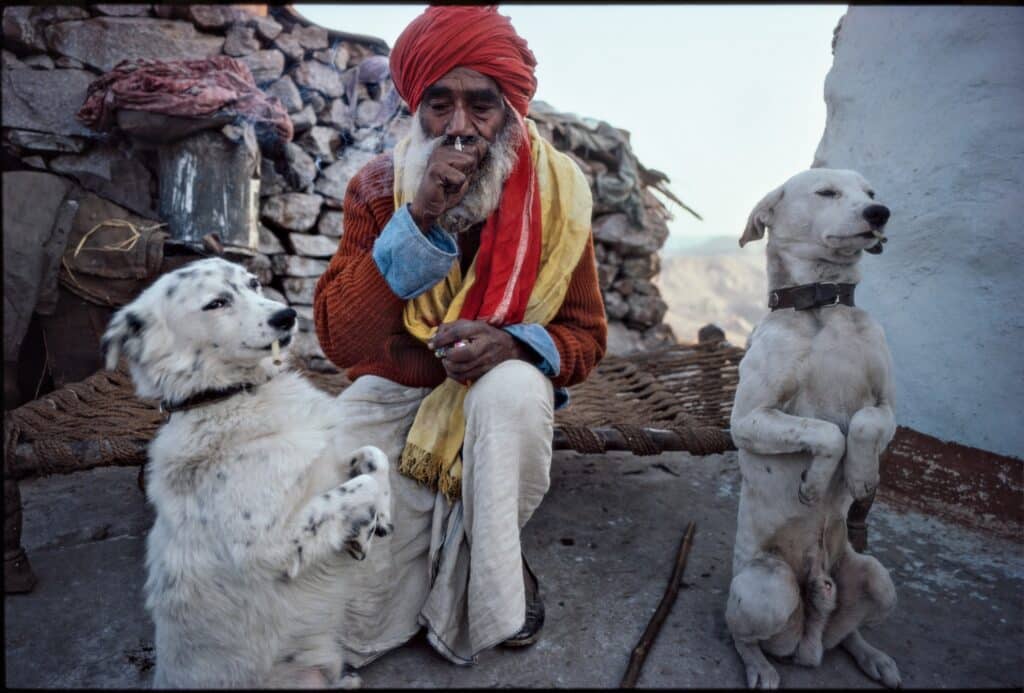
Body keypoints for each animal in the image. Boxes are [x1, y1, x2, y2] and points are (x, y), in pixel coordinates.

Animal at [102, 257, 391, 687]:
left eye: (254, 283)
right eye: (216, 303)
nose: (287, 315)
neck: (229, 398)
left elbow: (374, 455)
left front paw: (377, 521)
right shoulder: (265, 544)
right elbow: (360, 485)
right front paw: (363, 528)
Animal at [724, 169, 901, 687]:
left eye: (871, 193)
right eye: (826, 192)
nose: (880, 213)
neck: (825, 307)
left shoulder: (890, 410)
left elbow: (860, 423)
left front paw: (862, 476)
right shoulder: (746, 421)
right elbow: (825, 432)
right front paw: (816, 483)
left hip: (878, 581)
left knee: (846, 634)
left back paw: (873, 656)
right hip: (768, 591)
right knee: (742, 636)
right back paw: (761, 668)